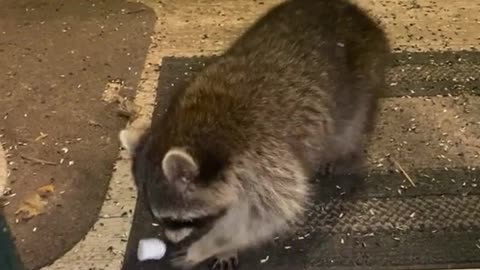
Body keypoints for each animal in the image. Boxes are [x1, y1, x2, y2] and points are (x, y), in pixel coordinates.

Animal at [120, 0, 390, 268]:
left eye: (179, 220)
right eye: (158, 217)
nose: (171, 239)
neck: (193, 125)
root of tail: (356, 14)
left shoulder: (266, 160)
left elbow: (265, 214)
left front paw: (211, 245)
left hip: (364, 82)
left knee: (349, 129)